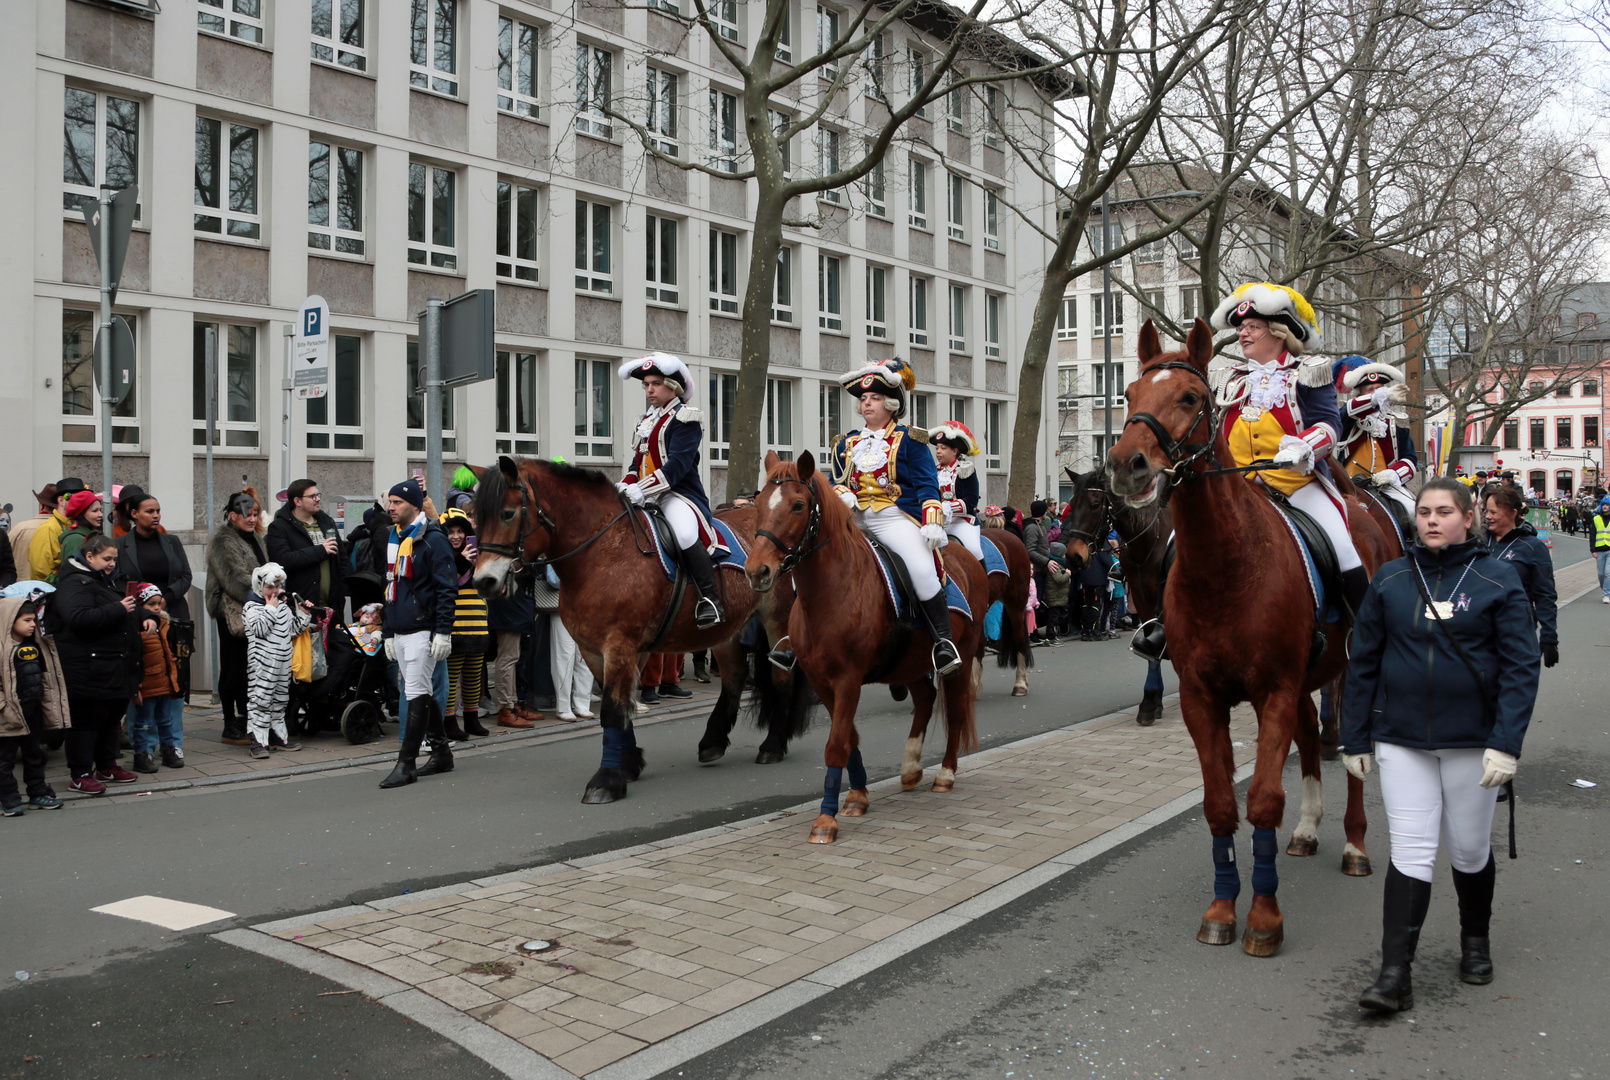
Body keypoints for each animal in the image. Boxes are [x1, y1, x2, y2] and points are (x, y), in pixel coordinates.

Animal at [470, 457, 811, 801]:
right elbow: (622, 704)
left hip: (776, 618)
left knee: (781, 675)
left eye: (507, 513)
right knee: (735, 676)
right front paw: (628, 763)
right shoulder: (594, 650)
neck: (601, 551)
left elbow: (612, 708)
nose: (483, 581)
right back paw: (713, 742)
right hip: (727, 628)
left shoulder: (620, 644)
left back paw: (772, 745)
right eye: (477, 517)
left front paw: (606, 780)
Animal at [743, 447, 991, 843]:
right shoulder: (821, 681)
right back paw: (911, 766)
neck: (831, 591)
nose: (757, 572)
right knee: (925, 699)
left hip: (962, 658)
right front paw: (856, 796)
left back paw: (945, 774)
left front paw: (826, 819)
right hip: (909, 660)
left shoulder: (848, 679)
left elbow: (836, 744)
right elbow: (850, 738)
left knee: (954, 709)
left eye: (798, 505)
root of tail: (965, 555)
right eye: (760, 502)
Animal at [1056, 466, 1172, 727]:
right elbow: (1151, 646)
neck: (1149, 544)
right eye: (1072, 504)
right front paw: (1151, 702)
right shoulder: (1141, 596)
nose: (1074, 556)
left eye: (1095, 504)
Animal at [1107, 318, 1397, 952]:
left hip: (1342, 670)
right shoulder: (1202, 698)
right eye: (1129, 394)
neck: (1227, 568)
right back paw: (1309, 830)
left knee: (1350, 749)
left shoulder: (1274, 692)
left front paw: (1264, 917)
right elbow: (1221, 806)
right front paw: (1222, 909)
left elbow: (1263, 801)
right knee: (1313, 738)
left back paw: (1355, 844)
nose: (1126, 465)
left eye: (1191, 398)